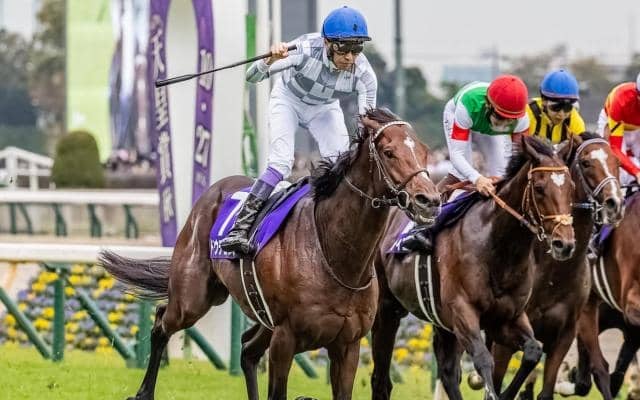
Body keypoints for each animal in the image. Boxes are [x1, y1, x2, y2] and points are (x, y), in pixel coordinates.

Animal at [98, 108, 442, 400]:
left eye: (424, 151)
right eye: (389, 152)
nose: (429, 200)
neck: (337, 258)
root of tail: (213, 190)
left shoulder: (347, 344)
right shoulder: (285, 338)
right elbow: (278, 392)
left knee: (247, 351)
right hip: (192, 298)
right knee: (161, 323)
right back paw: (143, 392)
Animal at [369, 135, 576, 400]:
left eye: (571, 187)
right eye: (539, 188)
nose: (565, 244)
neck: (499, 251)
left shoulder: (507, 318)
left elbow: (533, 351)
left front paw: (506, 394)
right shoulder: (462, 311)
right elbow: (483, 359)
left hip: (442, 322)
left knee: (448, 372)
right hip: (387, 308)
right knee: (381, 375)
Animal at [489, 133, 624, 400]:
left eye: (616, 161)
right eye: (586, 163)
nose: (614, 202)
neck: (554, 273)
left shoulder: (565, 333)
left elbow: (544, 388)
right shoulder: (505, 336)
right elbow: (501, 381)